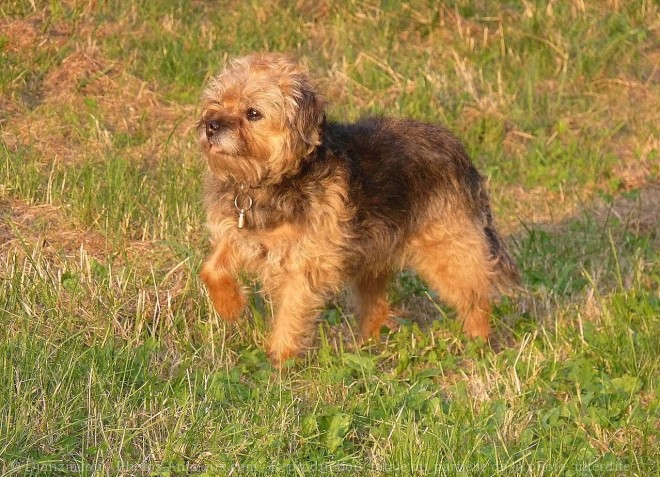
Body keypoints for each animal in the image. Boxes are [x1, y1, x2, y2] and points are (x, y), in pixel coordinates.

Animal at [197, 53, 520, 364]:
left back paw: (477, 344)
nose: (211, 125)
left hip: (448, 252)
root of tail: (460, 151)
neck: (271, 180)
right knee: (376, 306)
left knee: (475, 298)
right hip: (373, 254)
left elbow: (291, 311)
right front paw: (230, 307)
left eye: (253, 113)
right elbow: (210, 269)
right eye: (216, 102)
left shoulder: (306, 263)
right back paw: (367, 346)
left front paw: (280, 359)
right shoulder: (240, 234)